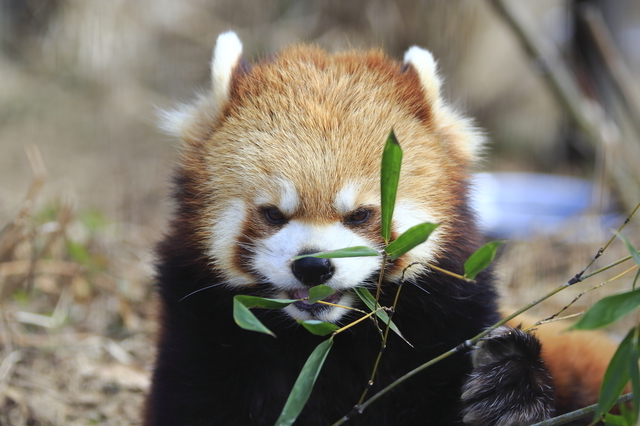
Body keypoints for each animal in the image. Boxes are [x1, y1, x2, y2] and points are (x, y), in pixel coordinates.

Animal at [146, 32, 616, 426]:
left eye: (360, 215)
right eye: (273, 214)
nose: (313, 267)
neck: (325, 341)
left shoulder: (446, 332)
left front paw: (509, 385)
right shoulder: (205, 343)